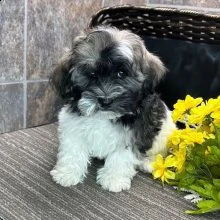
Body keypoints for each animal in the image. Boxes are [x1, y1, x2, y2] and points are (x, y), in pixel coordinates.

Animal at [49, 26, 175, 192]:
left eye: (121, 73)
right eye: (92, 74)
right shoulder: (73, 126)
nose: (105, 100)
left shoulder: (133, 134)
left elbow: (121, 156)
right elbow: (73, 149)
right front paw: (67, 173)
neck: (104, 116)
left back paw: (148, 163)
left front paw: (113, 179)